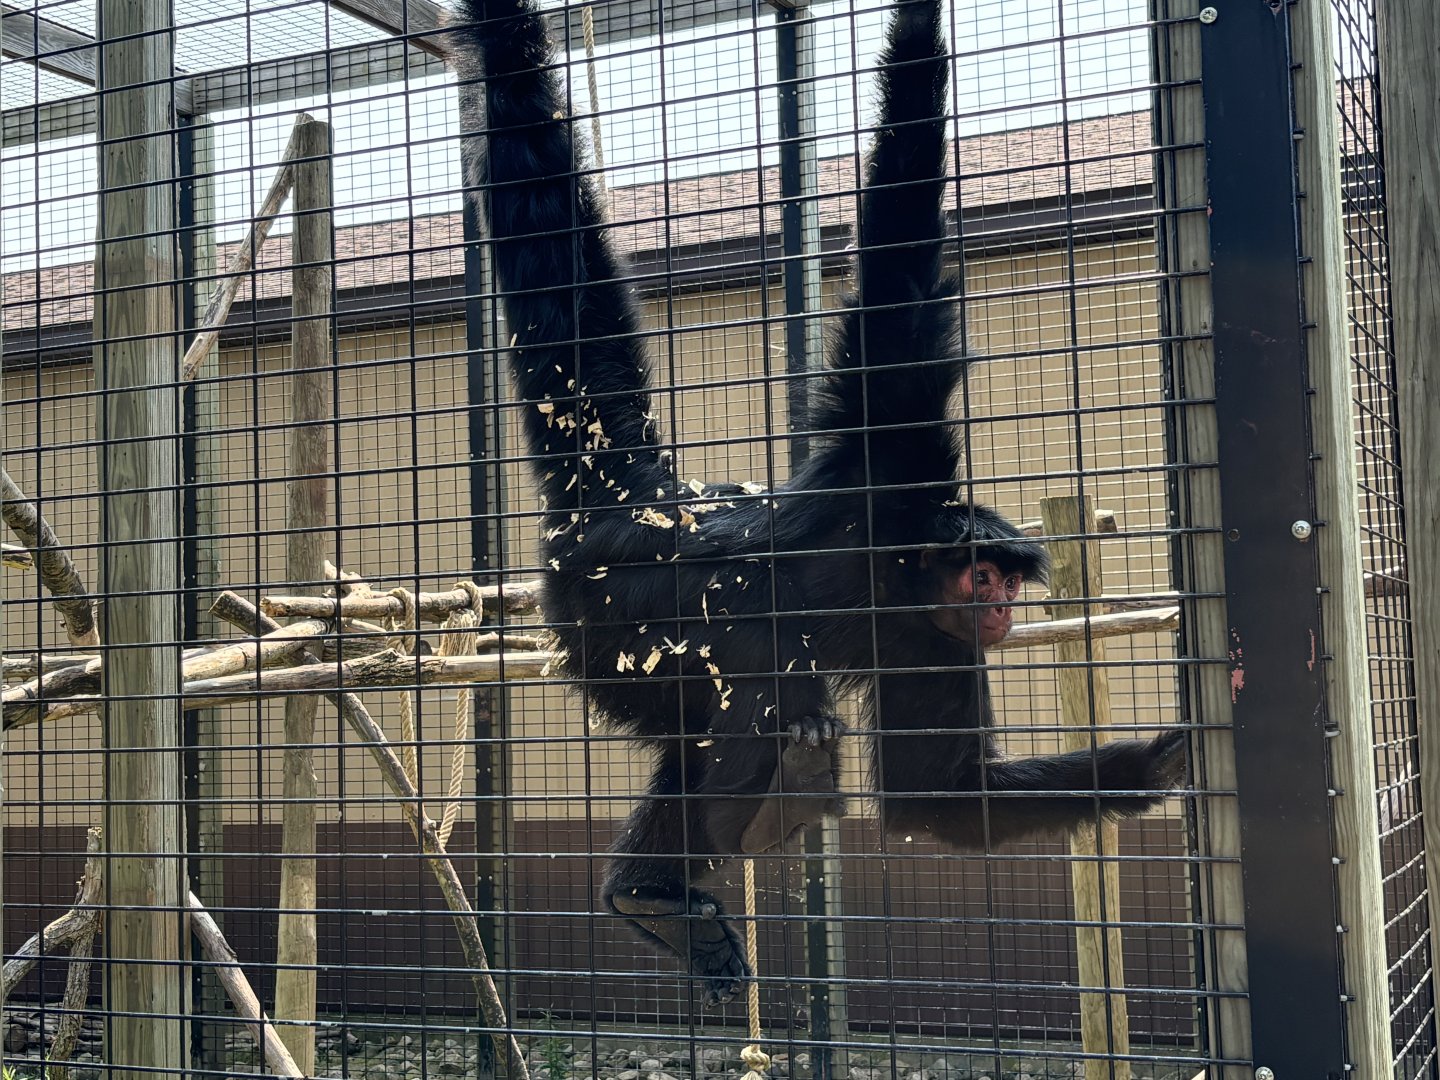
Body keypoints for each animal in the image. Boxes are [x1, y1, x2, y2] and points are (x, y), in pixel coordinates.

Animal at [443, 0, 1186, 1007]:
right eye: (987, 575)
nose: (1000, 607)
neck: (902, 572)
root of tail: (646, 502)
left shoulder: (935, 643)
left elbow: (938, 793)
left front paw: (1157, 765)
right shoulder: (895, 451)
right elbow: (899, 277)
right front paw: (918, 32)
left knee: (703, 725)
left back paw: (648, 894)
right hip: (621, 608)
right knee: (757, 649)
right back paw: (754, 809)